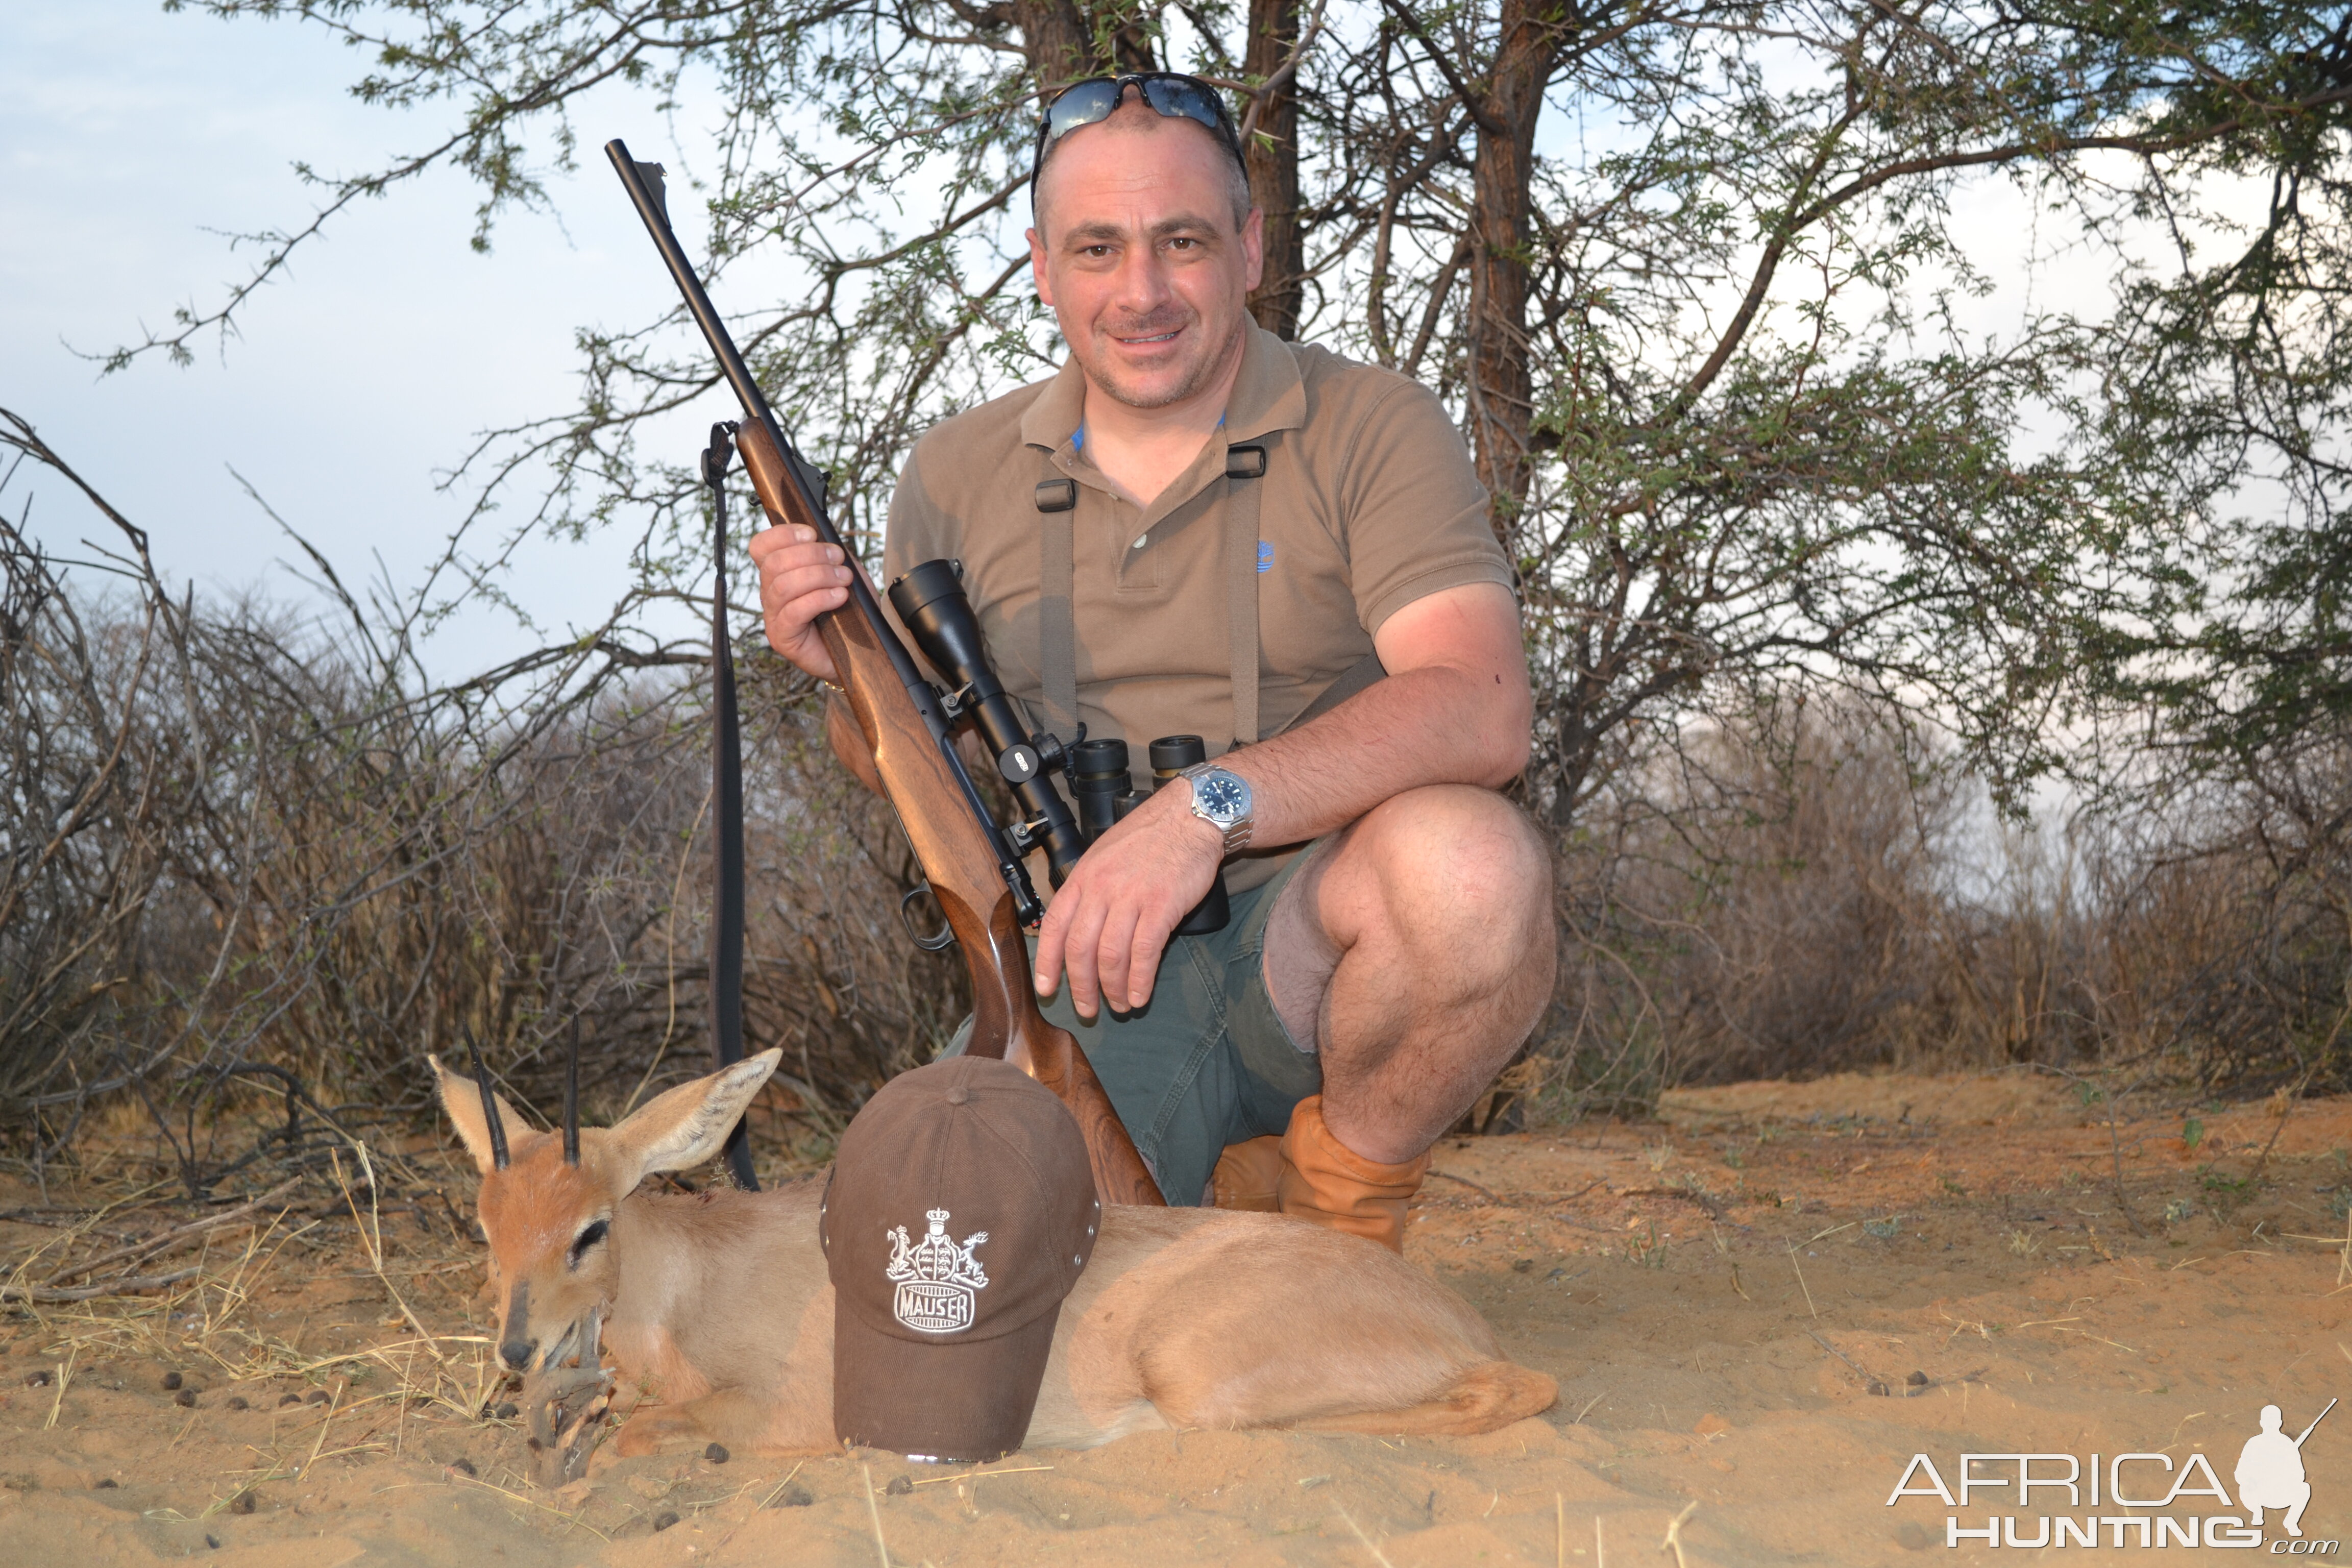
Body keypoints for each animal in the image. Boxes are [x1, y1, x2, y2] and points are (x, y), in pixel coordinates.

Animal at [432, 1043, 1552, 1476]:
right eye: (485, 1225)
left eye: (591, 1226)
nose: (517, 1351)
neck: (695, 1284)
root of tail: (1457, 1322)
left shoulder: (791, 1409)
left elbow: (643, 1429)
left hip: (1196, 1376)